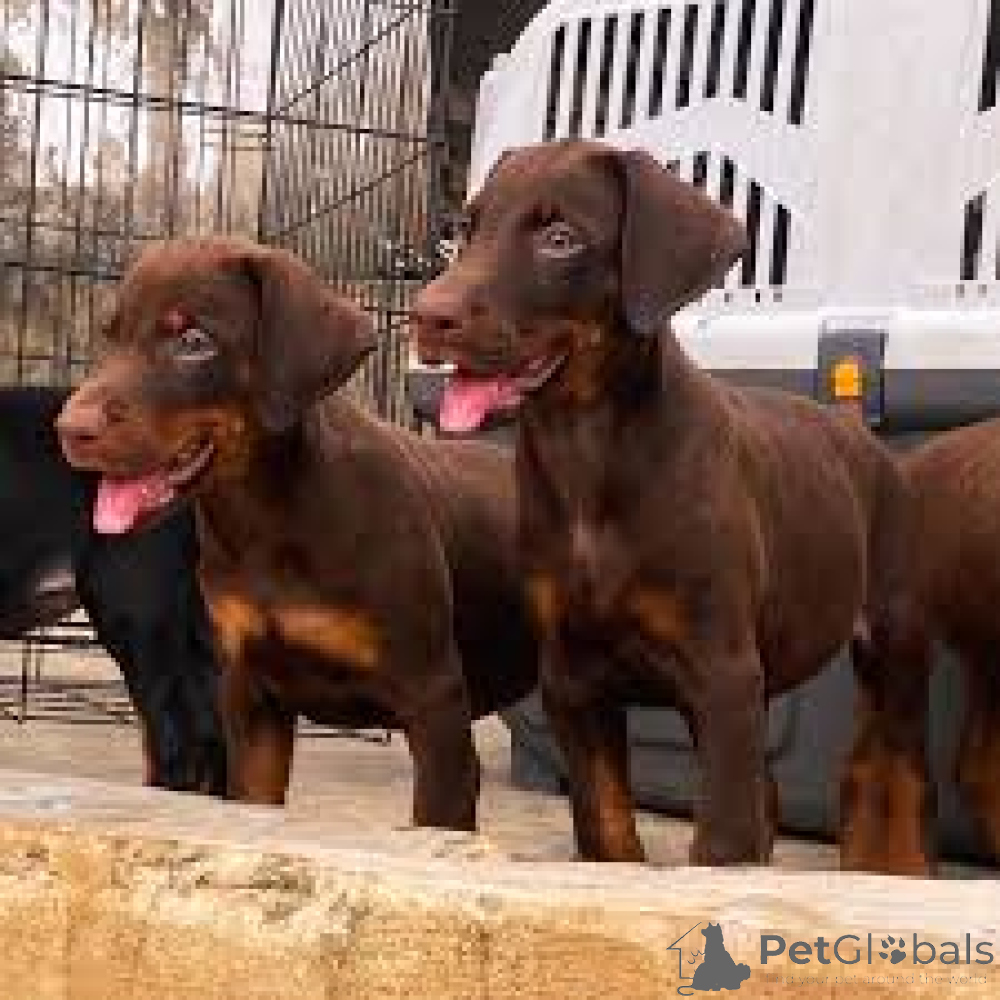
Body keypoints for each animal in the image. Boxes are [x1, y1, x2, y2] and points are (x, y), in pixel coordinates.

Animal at [56, 237, 537, 829]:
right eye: (110, 334)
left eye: (194, 342)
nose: (69, 429)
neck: (267, 522)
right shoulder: (251, 698)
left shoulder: (435, 703)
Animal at [411, 139, 930, 872]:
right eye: (466, 229)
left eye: (560, 238)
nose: (427, 316)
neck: (587, 456)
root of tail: (856, 431)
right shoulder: (573, 680)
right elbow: (607, 830)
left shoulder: (720, 673)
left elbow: (722, 842)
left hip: (893, 637)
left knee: (898, 773)